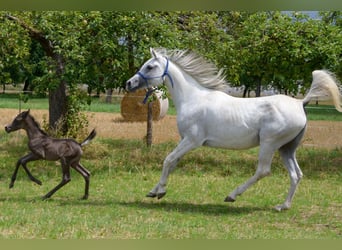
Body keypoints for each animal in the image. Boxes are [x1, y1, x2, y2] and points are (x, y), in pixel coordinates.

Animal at [125, 47, 342, 211]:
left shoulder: (192, 140)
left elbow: (168, 160)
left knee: (263, 171)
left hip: (269, 144)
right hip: (286, 148)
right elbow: (172, 162)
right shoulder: (184, 140)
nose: (129, 83)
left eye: (150, 66)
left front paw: (160, 191)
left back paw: (232, 196)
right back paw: (283, 206)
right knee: (296, 174)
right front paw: (154, 191)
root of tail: (300, 103)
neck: (193, 98)